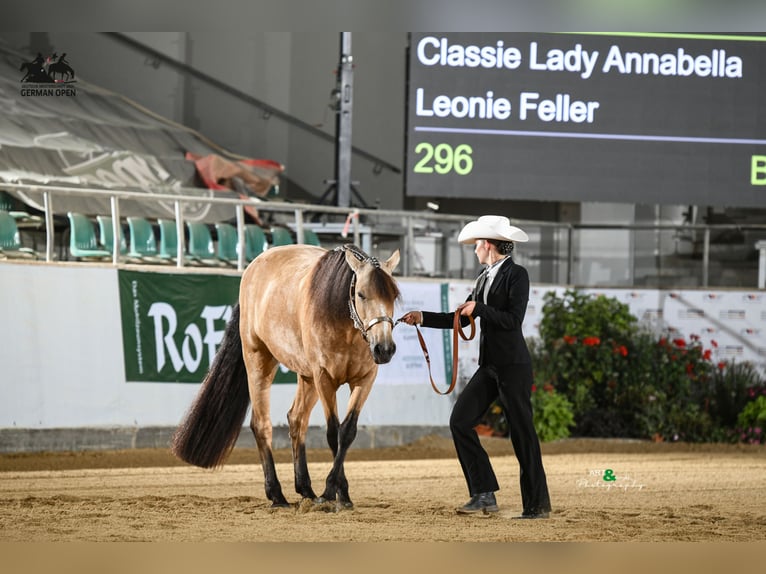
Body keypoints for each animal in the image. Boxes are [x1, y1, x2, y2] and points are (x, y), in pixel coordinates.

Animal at [173, 243, 402, 508]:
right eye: (362, 294)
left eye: (393, 295)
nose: (384, 348)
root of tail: (253, 267)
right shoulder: (324, 378)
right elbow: (333, 433)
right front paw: (329, 493)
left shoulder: (364, 380)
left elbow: (347, 432)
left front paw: (342, 495)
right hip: (259, 360)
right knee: (261, 424)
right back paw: (277, 494)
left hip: (306, 376)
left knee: (296, 419)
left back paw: (305, 489)